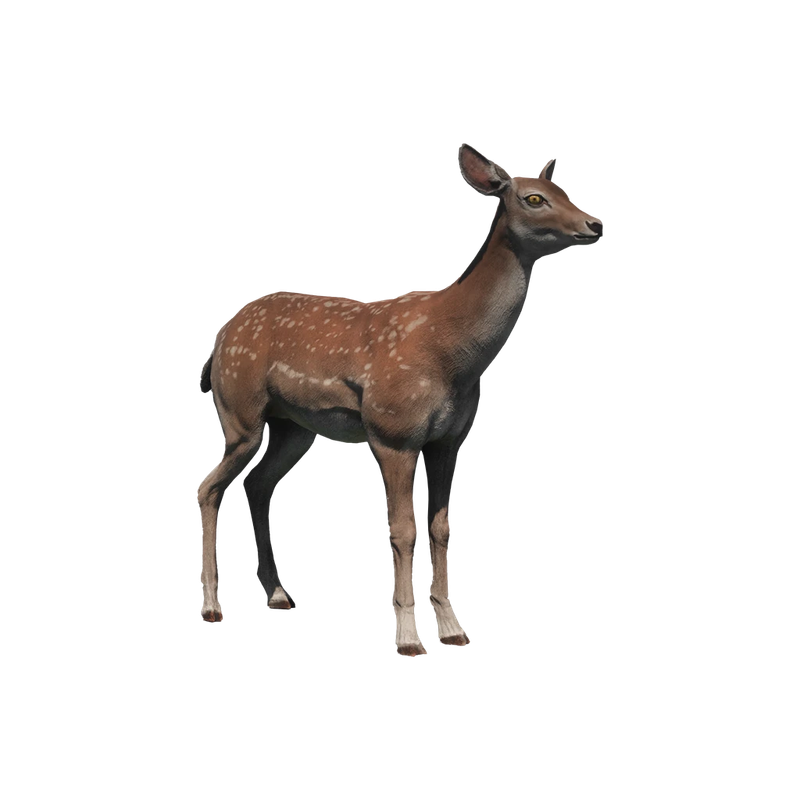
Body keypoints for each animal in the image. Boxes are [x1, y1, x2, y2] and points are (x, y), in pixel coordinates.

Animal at [196, 144, 603, 656]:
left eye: (563, 190)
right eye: (534, 198)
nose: (595, 223)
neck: (454, 353)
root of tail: (219, 341)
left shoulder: (450, 438)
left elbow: (441, 526)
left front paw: (452, 628)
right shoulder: (394, 431)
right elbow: (402, 530)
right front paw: (409, 637)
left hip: (295, 428)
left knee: (257, 484)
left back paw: (278, 595)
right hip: (240, 413)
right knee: (208, 487)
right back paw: (212, 606)